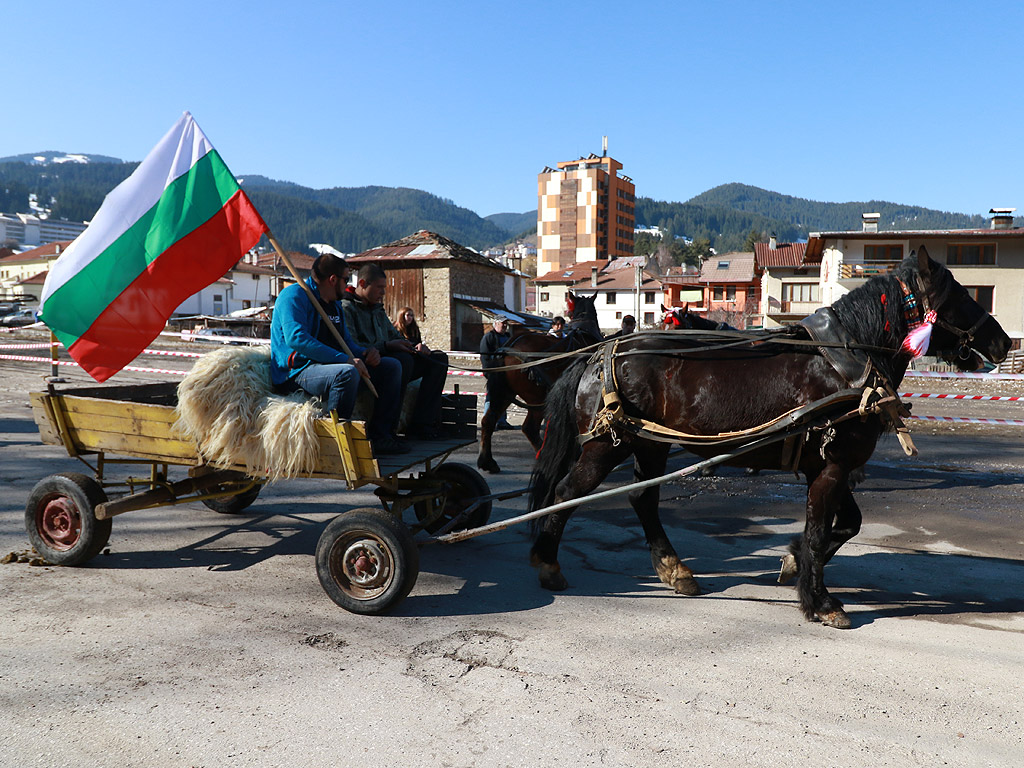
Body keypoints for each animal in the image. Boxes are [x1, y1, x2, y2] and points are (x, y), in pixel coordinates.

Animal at [475, 294, 602, 475]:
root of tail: (510, 348)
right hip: (537, 398)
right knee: (530, 428)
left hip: (504, 393)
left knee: (488, 421)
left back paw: (487, 461)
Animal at [532, 249, 1011, 626]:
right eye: (960, 295)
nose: (1003, 342)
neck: (847, 363)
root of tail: (599, 354)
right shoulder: (833, 468)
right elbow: (819, 530)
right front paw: (820, 601)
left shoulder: (830, 466)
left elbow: (846, 525)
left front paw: (793, 562)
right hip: (606, 447)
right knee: (567, 493)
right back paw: (547, 563)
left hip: (650, 445)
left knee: (642, 499)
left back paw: (674, 569)